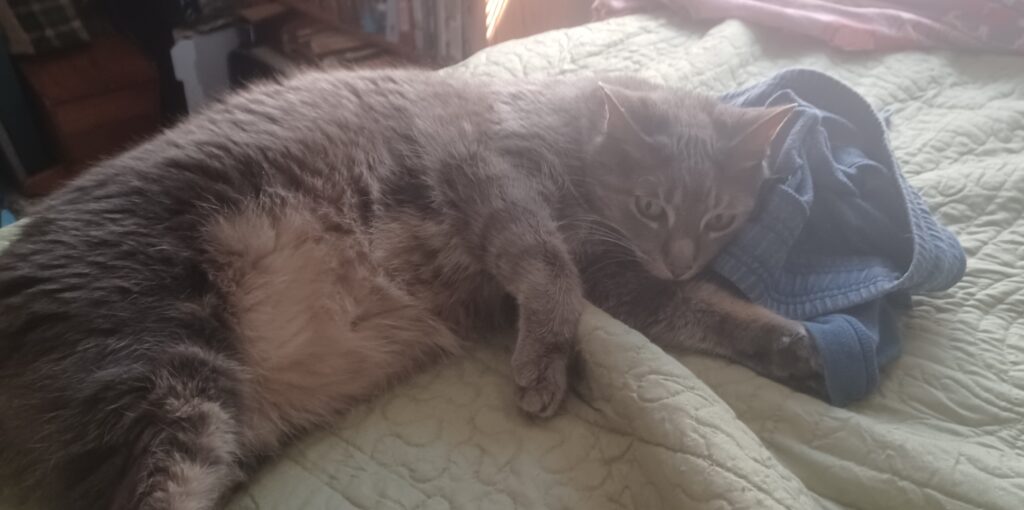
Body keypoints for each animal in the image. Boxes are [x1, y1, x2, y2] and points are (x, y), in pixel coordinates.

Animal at [0, 68, 819, 510]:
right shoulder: (493, 179)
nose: (679, 256)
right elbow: (550, 269)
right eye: (652, 206)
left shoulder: (622, 277)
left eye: (721, 218)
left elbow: (695, 307)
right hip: (159, 375)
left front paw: (782, 341)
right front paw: (545, 362)